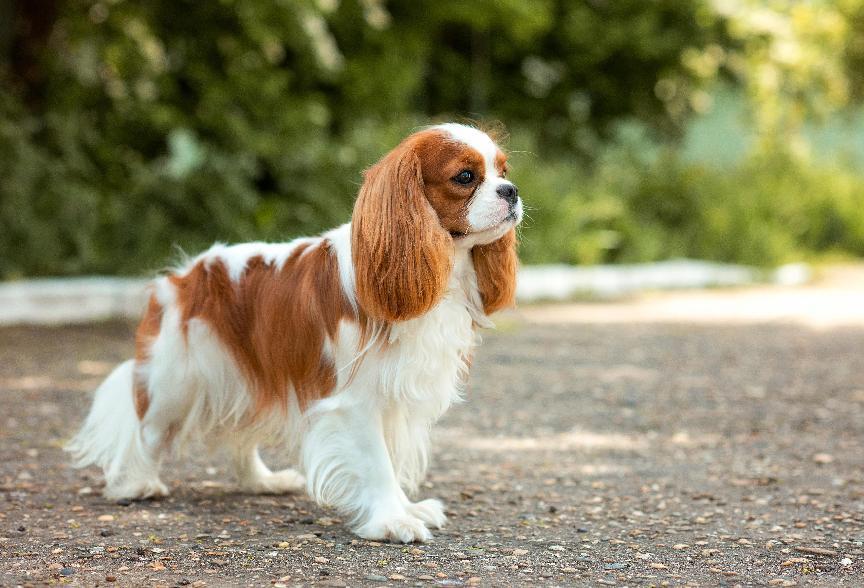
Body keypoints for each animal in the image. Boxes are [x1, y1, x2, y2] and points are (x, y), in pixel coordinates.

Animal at [66, 123, 520, 544]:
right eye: (465, 176)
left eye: (503, 171)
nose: (512, 191)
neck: (443, 265)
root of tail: (185, 274)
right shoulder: (355, 400)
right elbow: (377, 462)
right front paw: (392, 520)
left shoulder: (395, 388)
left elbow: (389, 458)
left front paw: (407, 509)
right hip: (175, 381)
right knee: (145, 428)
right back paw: (135, 483)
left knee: (238, 437)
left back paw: (262, 481)